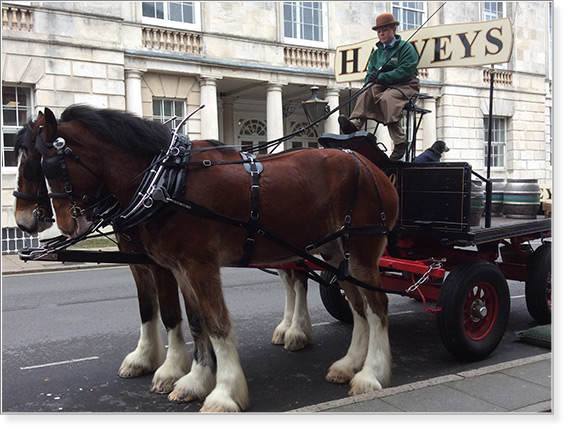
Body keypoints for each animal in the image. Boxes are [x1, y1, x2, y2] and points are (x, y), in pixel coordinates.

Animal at [32, 104, 394, 412]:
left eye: (48, 164)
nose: (59, 224)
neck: (167, 182)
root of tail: (370, 168)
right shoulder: (179, 267)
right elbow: (196, 322)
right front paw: (195, 380)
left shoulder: (200, 265)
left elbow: (217, 325)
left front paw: (224, 392)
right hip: (336, 253)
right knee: (358, 307)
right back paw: (349, 364)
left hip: (361, 252)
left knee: (376, 308)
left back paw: (371, 373)